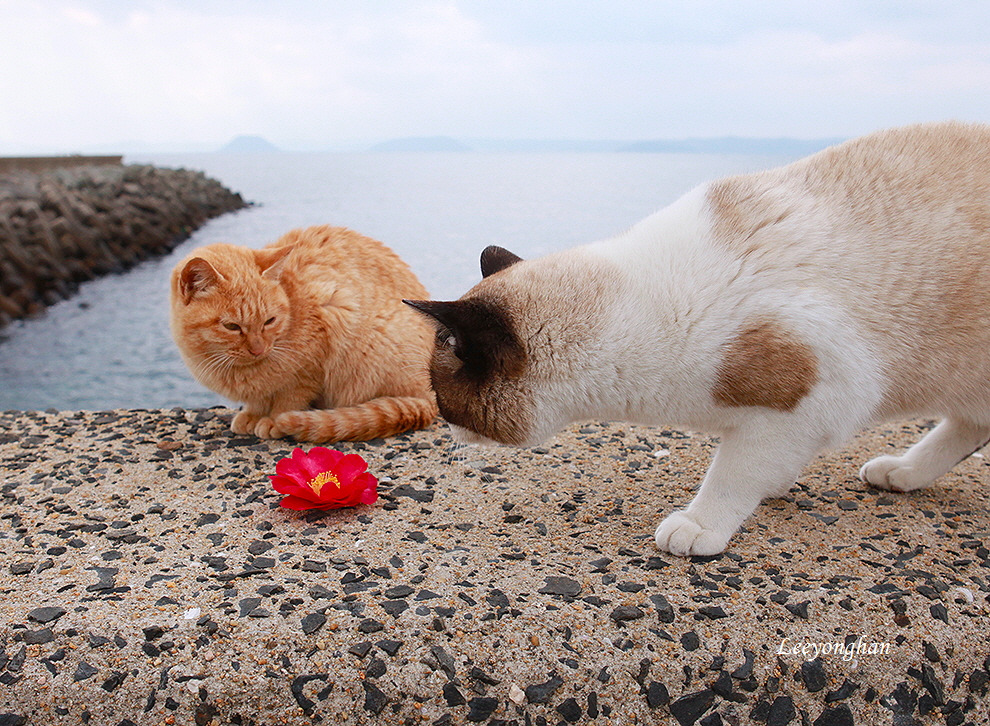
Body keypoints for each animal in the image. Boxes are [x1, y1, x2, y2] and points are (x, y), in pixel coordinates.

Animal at [170, 226, 438, 444]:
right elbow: (259, 398)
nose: (258, 349)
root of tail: (430, 400)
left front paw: (273, 420)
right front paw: (253, 414)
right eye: (232, 327)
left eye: (269, 321)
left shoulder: (312, 361)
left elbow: (291, 397)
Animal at [404, 123, 990, 556]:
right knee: (970, 426)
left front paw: (700, 525)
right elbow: (763, 467)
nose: (445, 429)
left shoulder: (806, 401)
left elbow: (733, 473)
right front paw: (774, 487)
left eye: (441, 397)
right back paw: (902, 472)